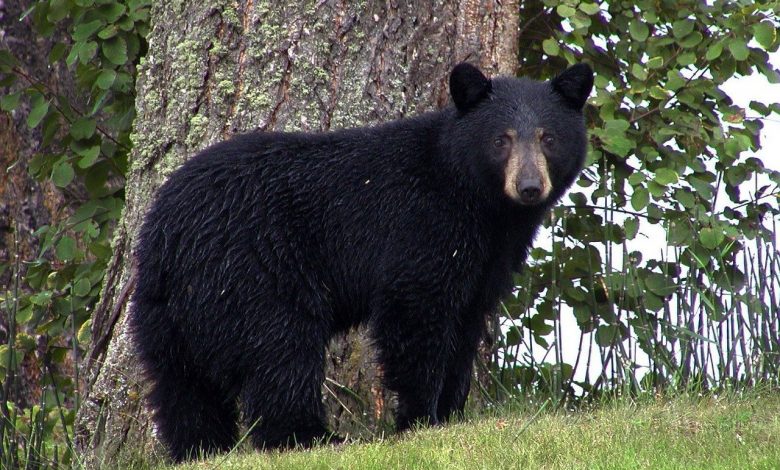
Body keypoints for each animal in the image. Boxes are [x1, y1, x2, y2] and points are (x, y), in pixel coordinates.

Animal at [129, 61, 593, 462]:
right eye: (502, 139)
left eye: (548, 138)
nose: (529, 186)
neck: (479, 203)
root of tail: (167, 233)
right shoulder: (422, 227)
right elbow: (415, 313)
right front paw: (420, 419)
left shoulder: (487, 259)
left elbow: (465, 324)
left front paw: (452, 414)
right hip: (253, 271)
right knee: (280, 352)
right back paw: (312, 437)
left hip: (165, 309)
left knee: (181, 384)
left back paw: (200, 449)